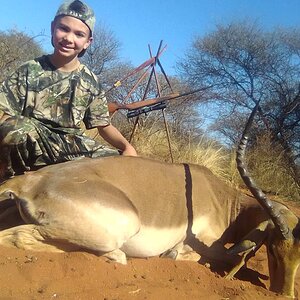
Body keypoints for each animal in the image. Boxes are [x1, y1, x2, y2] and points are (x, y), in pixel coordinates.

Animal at [0, 104, 298, 296]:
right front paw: (171, 254)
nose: (283, 293)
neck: (222, 200)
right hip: (119, 229)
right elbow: (190, 256)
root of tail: (29, 181)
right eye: (273, 248)